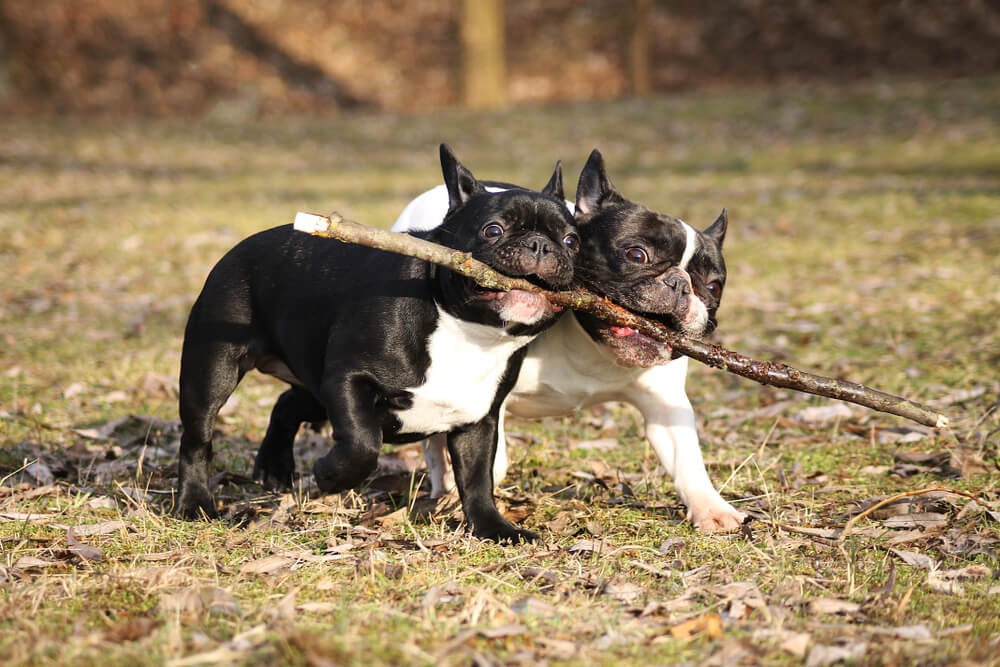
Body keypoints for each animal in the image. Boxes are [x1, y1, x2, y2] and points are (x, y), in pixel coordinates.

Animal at [178, 145, 580, 544]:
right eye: (493, 230)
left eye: (572, 241)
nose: (540, 244)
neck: (468, 332)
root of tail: (241, 246)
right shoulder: (348, 380)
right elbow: (363, 443)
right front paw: (330, 475)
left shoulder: (477, 418)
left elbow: (477, 479)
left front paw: (494, 528)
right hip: (213, 367)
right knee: (198, 438)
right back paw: (194, 504)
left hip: (314, 383)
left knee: (288, 403)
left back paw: (273, 467)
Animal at [390, 150, 744, 532]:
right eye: (637, 255)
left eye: (714, 286)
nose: (680, 284)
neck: (593, 350)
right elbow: (493, 459)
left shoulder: (665, 404)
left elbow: (686, 458)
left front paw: (712, 507)